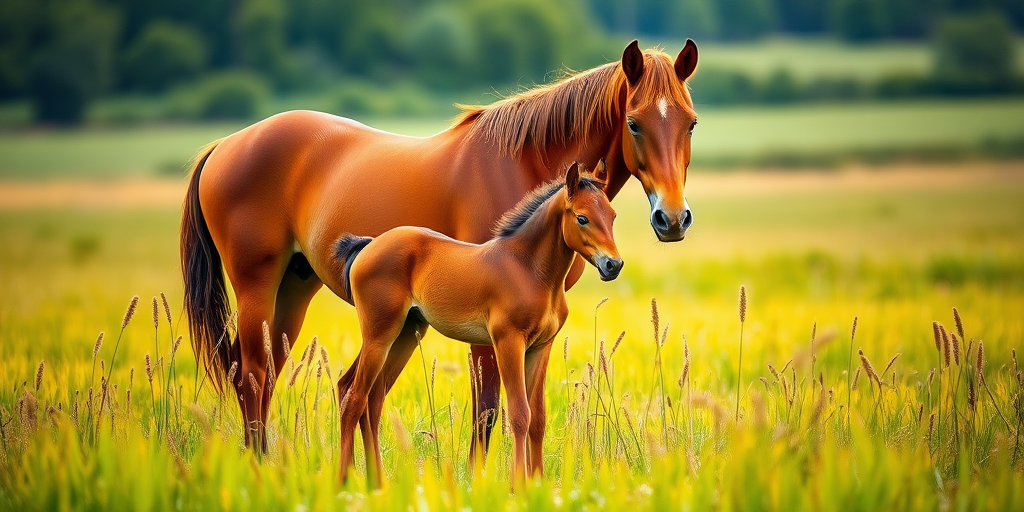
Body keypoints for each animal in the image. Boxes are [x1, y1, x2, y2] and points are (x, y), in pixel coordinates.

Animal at [332, 162, 620, 487]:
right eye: (582, 217)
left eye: (612, 215)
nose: (613, 265)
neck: (527, 269)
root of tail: (368, 244)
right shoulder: (508, 341)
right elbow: (519, 414)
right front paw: (518, 485)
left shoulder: (541, 346)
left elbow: (538, 418)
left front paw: (538, 484)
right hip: (379, 334)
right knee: (354, 398)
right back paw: (343, 481)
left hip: (405, 335)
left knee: (372, 399)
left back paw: (377, 483)